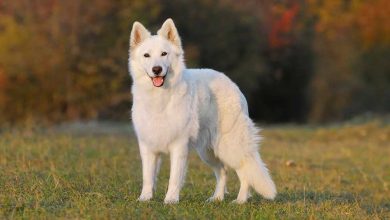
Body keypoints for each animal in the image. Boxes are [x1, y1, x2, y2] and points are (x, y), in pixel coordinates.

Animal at [129, 18, 276, 204]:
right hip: (208, 151)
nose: (157, 69)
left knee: (245, 171)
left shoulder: (179, 146)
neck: (160, 97)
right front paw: (145, 198)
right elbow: (147, 176)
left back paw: (240, 200)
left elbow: (174, 178)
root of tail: (233, 84)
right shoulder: (148, 146)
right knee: (223, 171)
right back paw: (217, 198)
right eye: (146, 55)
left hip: (230, 147)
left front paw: (170, 200)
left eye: (164, 54)